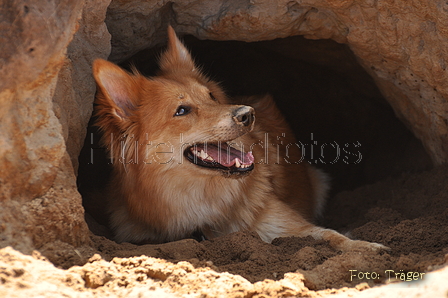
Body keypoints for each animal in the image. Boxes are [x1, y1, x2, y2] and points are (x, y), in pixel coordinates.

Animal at [92, 26, 388, 251]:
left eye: (211, 96)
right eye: (182, 110)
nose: (247, 114)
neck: (205, 206)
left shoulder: (289, 225)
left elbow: (330, 234)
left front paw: (366, 247)